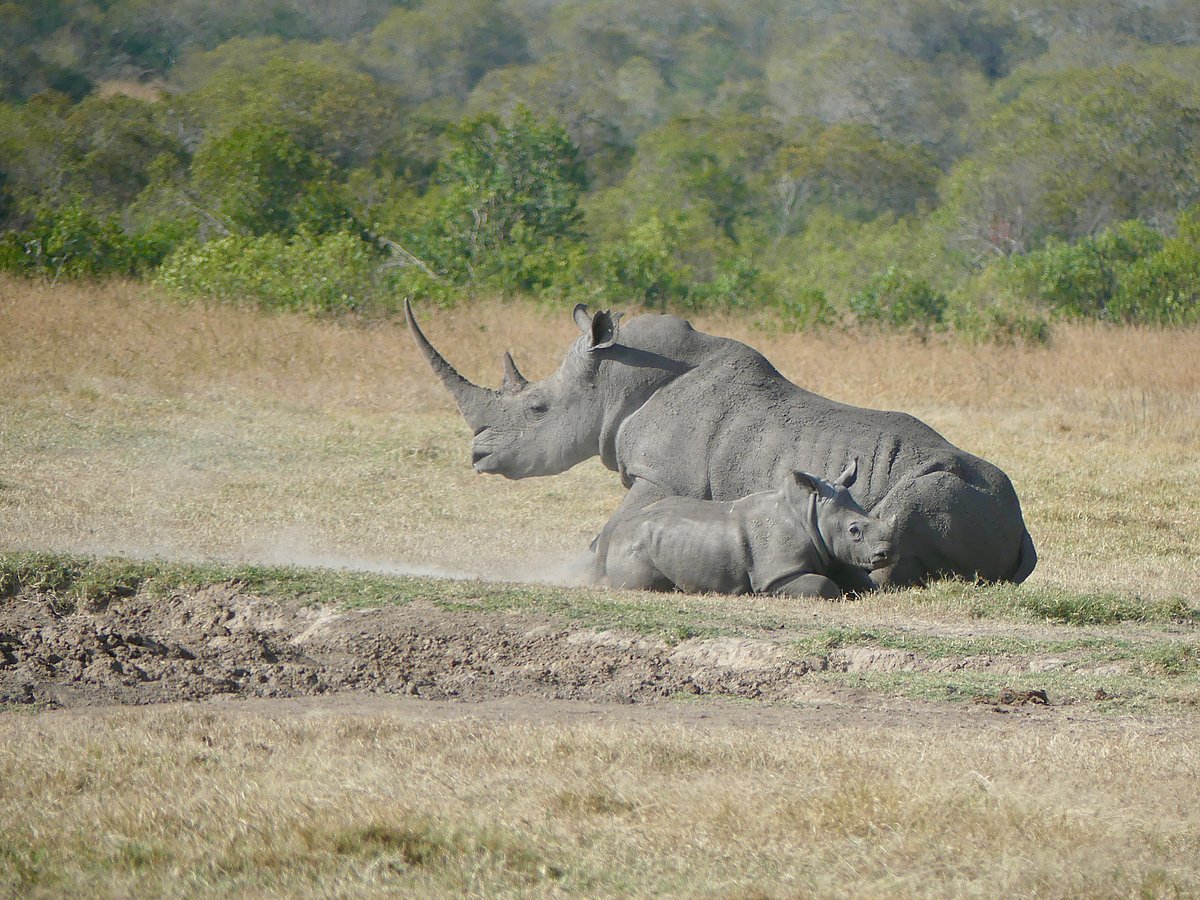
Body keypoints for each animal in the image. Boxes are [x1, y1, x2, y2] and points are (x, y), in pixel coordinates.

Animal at [604, 459, 896, 598]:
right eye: (854, 531)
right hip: (634, 546)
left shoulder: (830, 553)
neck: (809, 513)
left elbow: (862, 582)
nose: (887, 554)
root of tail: (614, 536)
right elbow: (825, 586)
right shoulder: (777, 574)